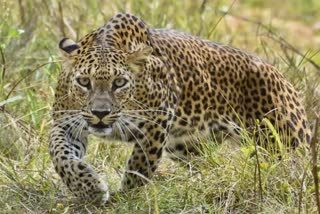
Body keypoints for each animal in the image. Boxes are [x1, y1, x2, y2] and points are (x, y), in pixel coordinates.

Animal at [48, 12, 312, 203]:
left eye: (119, 83)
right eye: (84, 82)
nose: (100, 114)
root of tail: (284, 77)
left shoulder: (157, 121)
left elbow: (140, 166)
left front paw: (125, 198)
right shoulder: (65, 122)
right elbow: (60, 155)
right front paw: (89, 188)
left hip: (285, 143)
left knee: (297, 170)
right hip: (186, 146)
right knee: (208, 164)